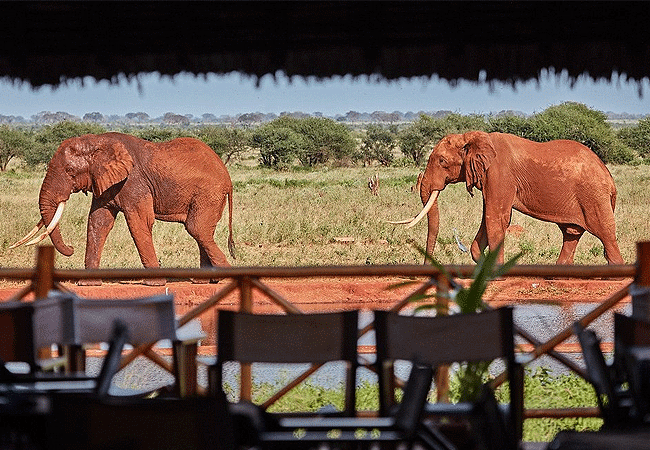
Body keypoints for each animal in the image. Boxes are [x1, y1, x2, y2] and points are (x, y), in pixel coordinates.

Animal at [11, 132, 234, 284]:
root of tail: (227, 175)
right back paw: (203, 281)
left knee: (197, 229)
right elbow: (98, 222)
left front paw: (153, 284)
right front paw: (88, 283)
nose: (71, 248)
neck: (97, 142)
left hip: (208, 194)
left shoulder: (133, 183)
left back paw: (225, 277)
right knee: (202, 232)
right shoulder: (104, 182)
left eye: (70, 171)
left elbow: (139, 222)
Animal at [388, 130, 624, 266]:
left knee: (607, 237)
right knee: (571, 235)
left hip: (594, 197)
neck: (473, 137)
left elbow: (496, 219)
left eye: (442, 161)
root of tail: (609, 178)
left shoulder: (498, 174)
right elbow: (488, 219)